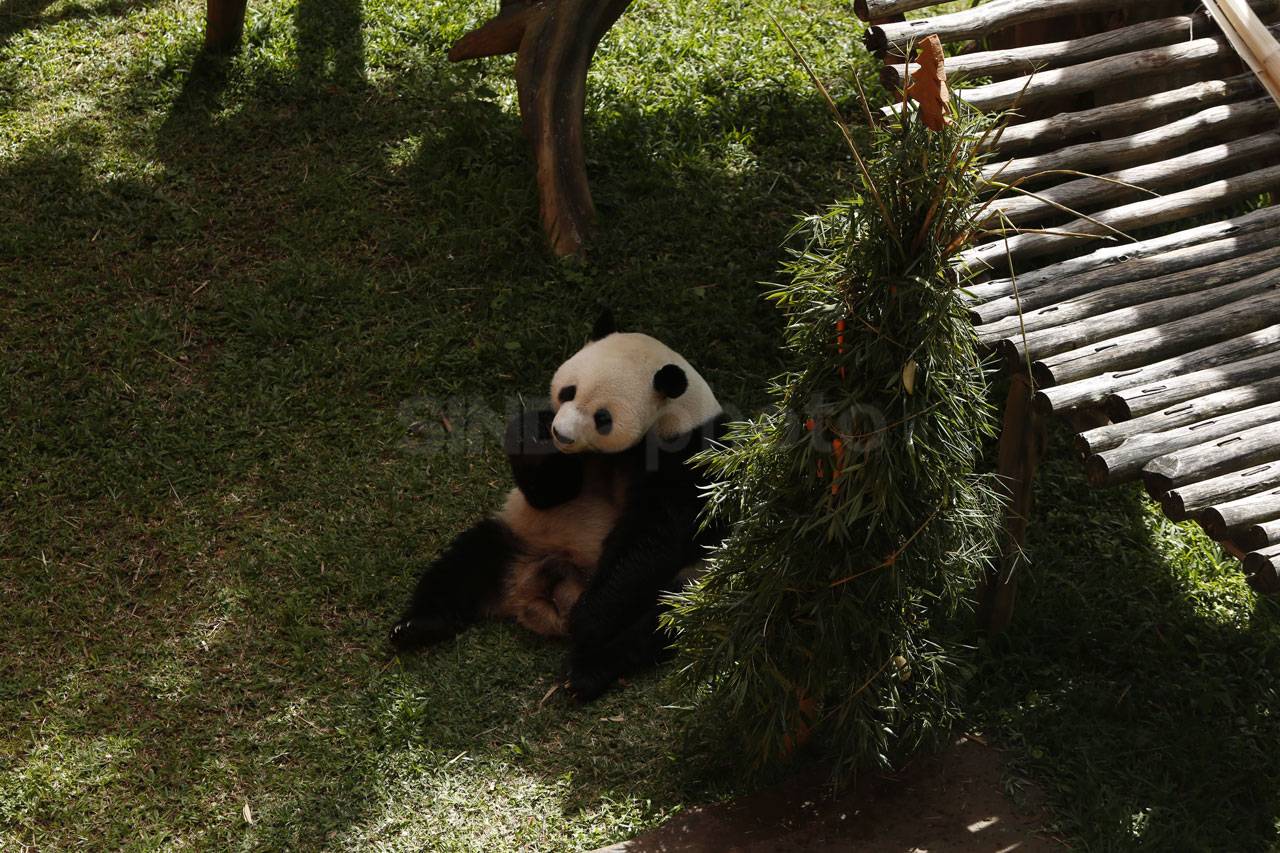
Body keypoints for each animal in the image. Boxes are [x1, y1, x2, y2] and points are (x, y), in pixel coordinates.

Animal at [389, 311, 728, 701]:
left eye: (602, 417)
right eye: (569, 391)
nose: (561, 434)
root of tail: (538, 596)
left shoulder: (691, 456)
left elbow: (652, 537)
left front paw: (589, 617)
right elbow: (549, 493)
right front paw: (532, 434)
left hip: (689, 579)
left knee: (662, 619)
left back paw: (585, 671)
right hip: (521, 538)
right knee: (468, 559)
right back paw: (417, 625)